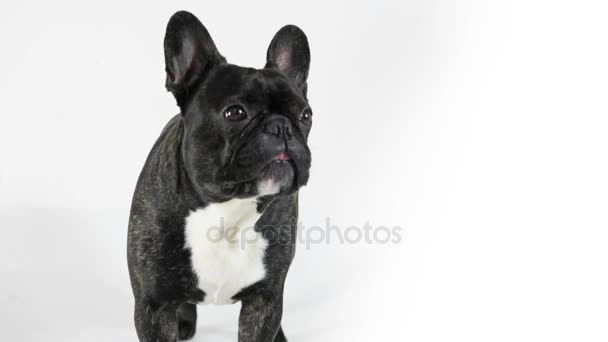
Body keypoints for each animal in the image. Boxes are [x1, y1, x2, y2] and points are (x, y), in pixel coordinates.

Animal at [125, 10, 312, 342]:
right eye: (235, 112)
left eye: (306, 115)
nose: (282, 126)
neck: (227, 210)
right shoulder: (153, 307)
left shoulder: (264, 303)